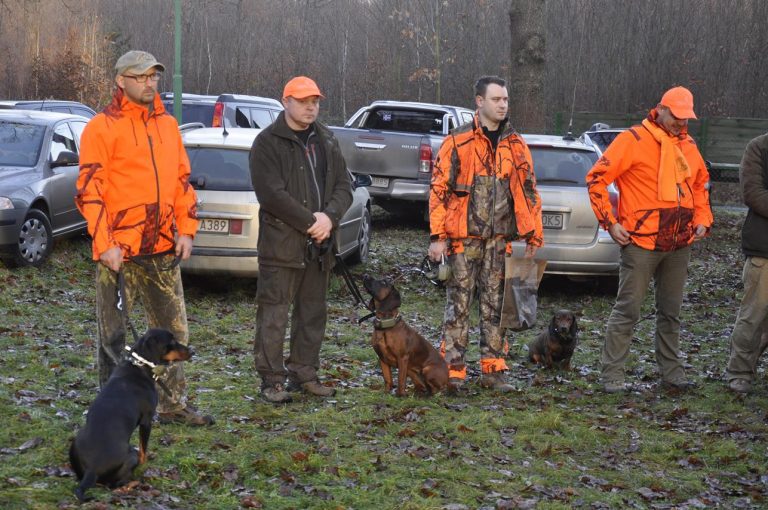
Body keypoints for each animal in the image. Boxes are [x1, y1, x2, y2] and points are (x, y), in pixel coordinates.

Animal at [69, 328, 192, 500]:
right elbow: (143, 450)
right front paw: (145, 464)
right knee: (116, 482)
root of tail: (91, 470)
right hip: (130, 455)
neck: (139, 365)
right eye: (171, 341)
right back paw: (133, 483)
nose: (192, 351)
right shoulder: (147, 421)